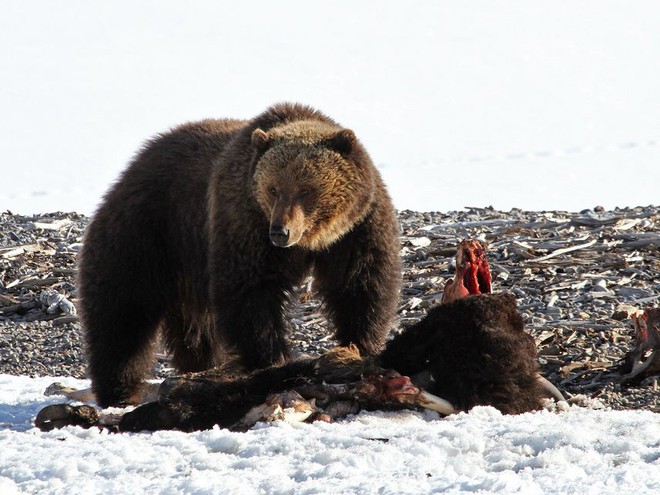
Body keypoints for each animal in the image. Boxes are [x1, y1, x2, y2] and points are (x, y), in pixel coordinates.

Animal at [80, 101, 404, 406]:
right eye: (273, 189)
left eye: (306, 190)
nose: (281, 232)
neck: (314, 241)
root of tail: (134, 164)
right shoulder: (244, 221)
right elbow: (250, 292)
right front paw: (271, 360)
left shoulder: (358, 229)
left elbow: (360, 285)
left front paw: (358, 347)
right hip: (149, 232)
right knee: (122, 313)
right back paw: (120, 390)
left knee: (196, 329)